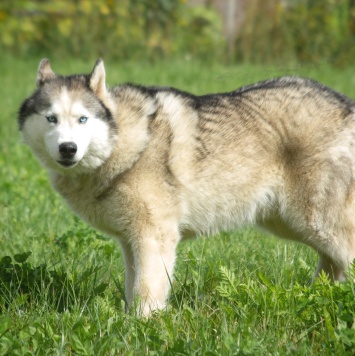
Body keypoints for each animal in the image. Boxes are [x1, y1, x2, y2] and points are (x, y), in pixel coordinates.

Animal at [18, 59, 355, 318]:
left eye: (82, 119)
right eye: (51, 119)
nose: (68, 149)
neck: (126, 143)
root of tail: (346, 104)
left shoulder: (155, 237)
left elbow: (146, 291)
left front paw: (140, 327)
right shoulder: (130, 241)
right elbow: (132, 288)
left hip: (314, 222)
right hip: (288, 223)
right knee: (332, 265)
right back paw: (315, 297)